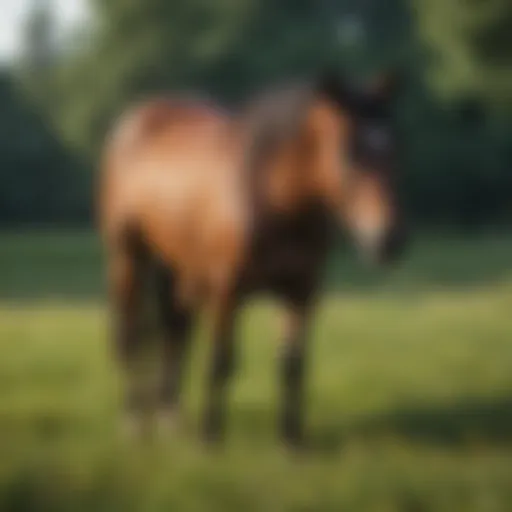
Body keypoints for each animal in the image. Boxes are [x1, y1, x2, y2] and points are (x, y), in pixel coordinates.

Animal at [98, 70, 406, 446]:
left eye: (394, 149)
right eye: (348, 152)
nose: (389, 240)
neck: (270, 199)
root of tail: (135, 120)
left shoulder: (300, 292)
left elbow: (292, 365)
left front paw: (291, 441)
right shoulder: (225, 291)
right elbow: (221, 361)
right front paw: (210, 437)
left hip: (177, 266)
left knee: (175, 328)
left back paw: (170, 418)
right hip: (127, 257)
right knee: (129, 333)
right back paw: (133, 422)